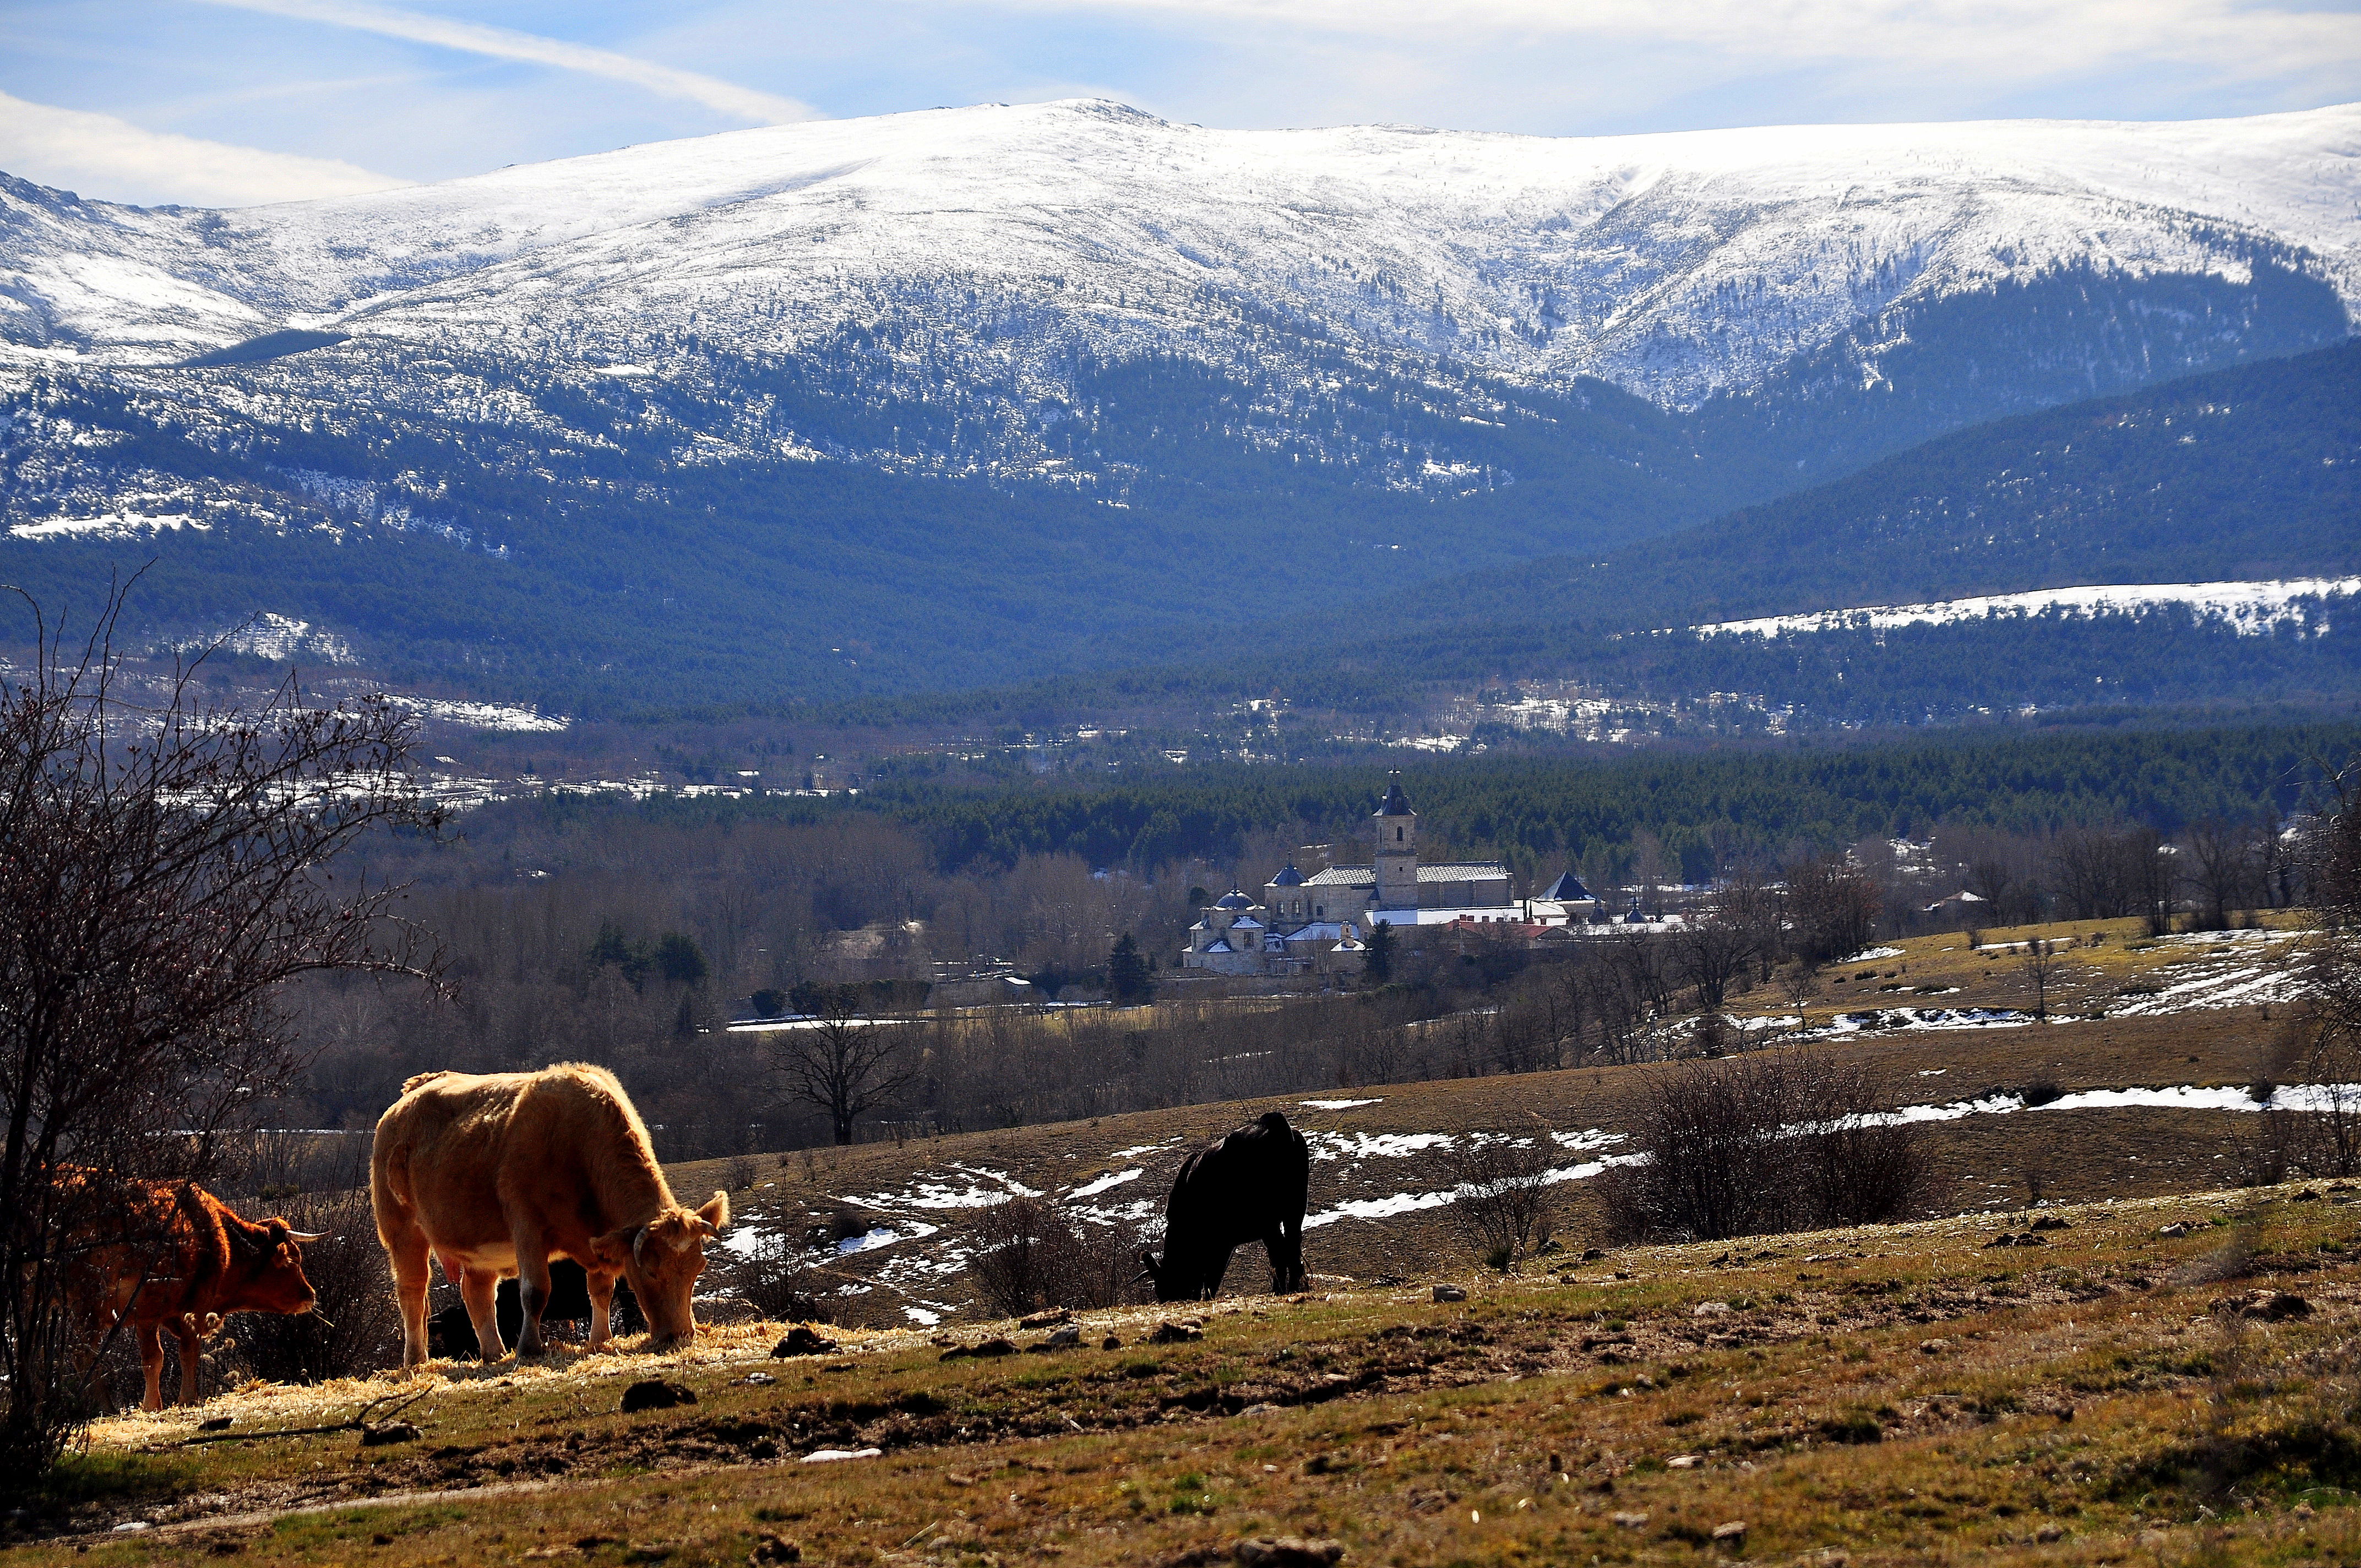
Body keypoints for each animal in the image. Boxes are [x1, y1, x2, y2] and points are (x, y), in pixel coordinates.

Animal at [72, 1180, 325, 1417]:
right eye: (294, 1259)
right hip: (88, 1304)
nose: (311, 1295)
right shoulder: (174, 1307)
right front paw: (176, 1401)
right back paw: (104, 1407)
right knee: (86, 1355)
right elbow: (175, 1354)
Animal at [1138, 1109, 1313, 1303]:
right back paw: (1292, 1288)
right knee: (1292, 1247)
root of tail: (1274, 1123)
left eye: (1165, 1288)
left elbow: (1211, 1275)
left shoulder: (1219, 1241)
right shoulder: (1226, 1241)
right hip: (1295, 1210)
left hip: (1268, 1219)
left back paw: (1281, 1289)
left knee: (1279, 1253)